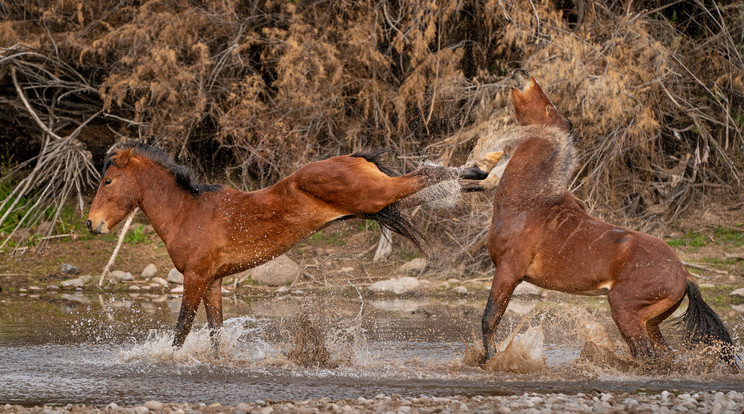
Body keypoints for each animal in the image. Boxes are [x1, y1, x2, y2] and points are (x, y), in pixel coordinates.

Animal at [87, 144, 496, 348]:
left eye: (108, 181)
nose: (93, 223)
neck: (188, 211)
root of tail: (353, 158)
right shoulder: (213, 281)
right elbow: (216, 333)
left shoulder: (195, 278)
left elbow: (181, 331)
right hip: (376, 202)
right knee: (429, 187)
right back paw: (482, 178)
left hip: (375, 195)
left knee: (425, 174)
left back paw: (481, 169)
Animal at [480, 70, 736, 366]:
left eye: (548, 107)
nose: (521, 73)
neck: (527, 202)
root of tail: (685, 274)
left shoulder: (508, 271)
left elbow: (489, 319)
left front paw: (490, 360)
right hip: (651, 322)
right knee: (661, 354)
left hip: (624, 310)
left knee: (646, 354)